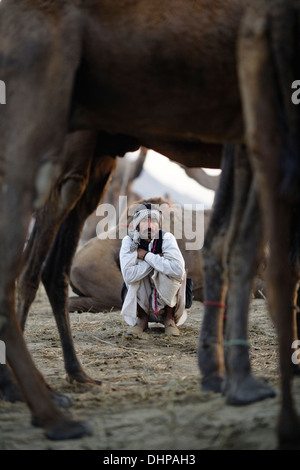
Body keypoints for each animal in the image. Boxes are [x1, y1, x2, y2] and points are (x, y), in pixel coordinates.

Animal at [1, 0, 298, 450]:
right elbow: (235, 248)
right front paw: (234, 379)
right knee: (32, 267)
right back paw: (35, 397)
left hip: (96, 158)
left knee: (52, 267)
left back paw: (73, 379)